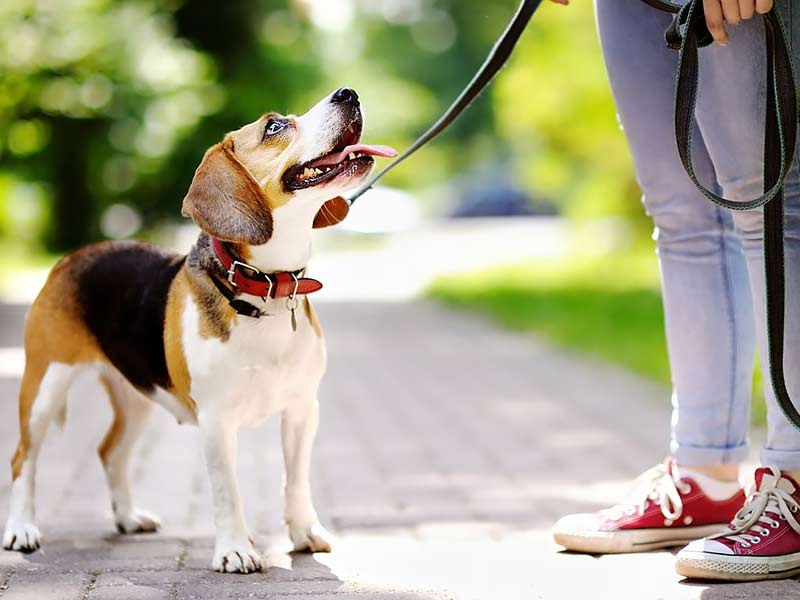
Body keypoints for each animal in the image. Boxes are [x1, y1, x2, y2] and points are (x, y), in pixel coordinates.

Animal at [2, 88, 396, 572]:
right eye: (274, 126)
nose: (348, 93)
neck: (264, 288)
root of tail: (72, 257)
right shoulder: (216, 421)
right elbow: (228, 491)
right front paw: (236, 549)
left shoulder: (303, 409)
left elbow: (296, 480)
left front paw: (305, 532)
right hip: (44, 386)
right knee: (23, 458)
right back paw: (21, 529)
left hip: (137, 397)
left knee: (110, 452)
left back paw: (128, 517)